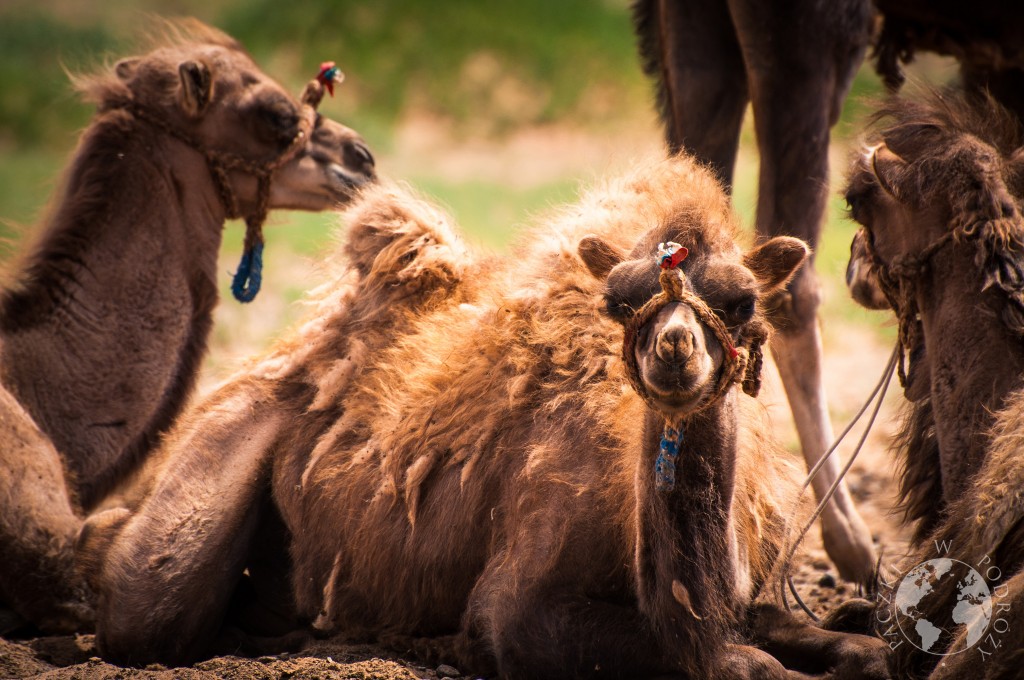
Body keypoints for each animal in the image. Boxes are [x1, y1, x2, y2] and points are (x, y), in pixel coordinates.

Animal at [77, 157, 888, 675]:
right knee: (148, 599)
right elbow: (740, 663)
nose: (674, 351)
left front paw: (862, 639)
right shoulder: (519, 607)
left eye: (743, 300)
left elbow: (843, 648)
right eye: (618, 301)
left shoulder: (747, 587)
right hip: (206, 467)